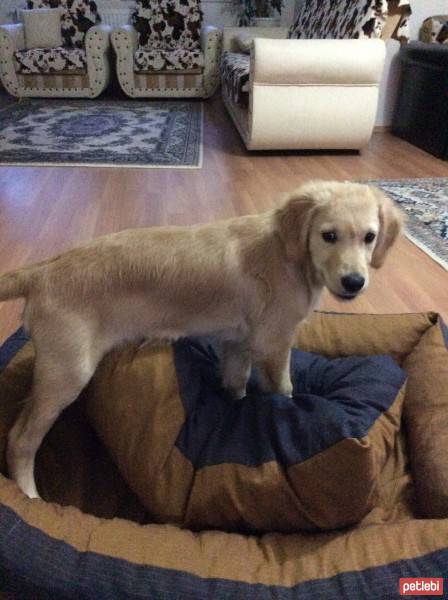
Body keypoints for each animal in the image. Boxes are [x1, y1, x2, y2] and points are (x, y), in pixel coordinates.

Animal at [0, 180, 402, 500]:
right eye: (328, 235)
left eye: (369, 237)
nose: (354, 283)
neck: (286, 253)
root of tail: (42, 271)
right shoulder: (273, 345)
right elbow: (284, 392)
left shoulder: (238, 345)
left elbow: (236, 385)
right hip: (68, 373)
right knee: (19, 439)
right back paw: (29, 494)